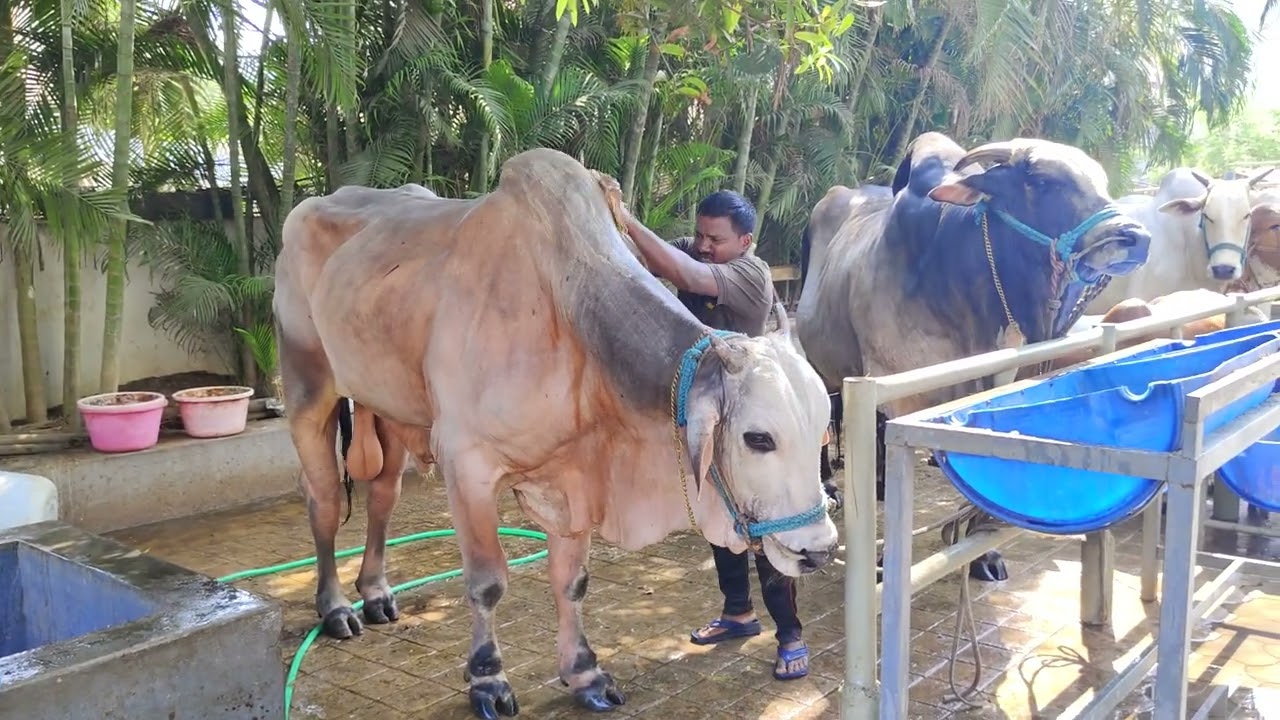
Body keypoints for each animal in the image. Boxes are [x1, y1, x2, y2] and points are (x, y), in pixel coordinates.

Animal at [272, 148, 839, 719]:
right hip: (307, 387)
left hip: (385, 405)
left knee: (382, 495)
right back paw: (336, 607)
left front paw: (585, 672)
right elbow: (487, 583)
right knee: (324, 498)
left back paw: (376, 593)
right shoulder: (467, 463)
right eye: (758, 438)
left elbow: (572, 581)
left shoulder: (575, 476)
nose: (818, 550)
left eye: (819, 434)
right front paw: (487, 680)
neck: (565, 308)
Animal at [796, 131, 1151, 581]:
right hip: (826, 367)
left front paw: (983, 554)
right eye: (1042, 181)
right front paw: (884, 560)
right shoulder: (902, 393)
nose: (1135, 237)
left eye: (1102, 181)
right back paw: (830, 486)